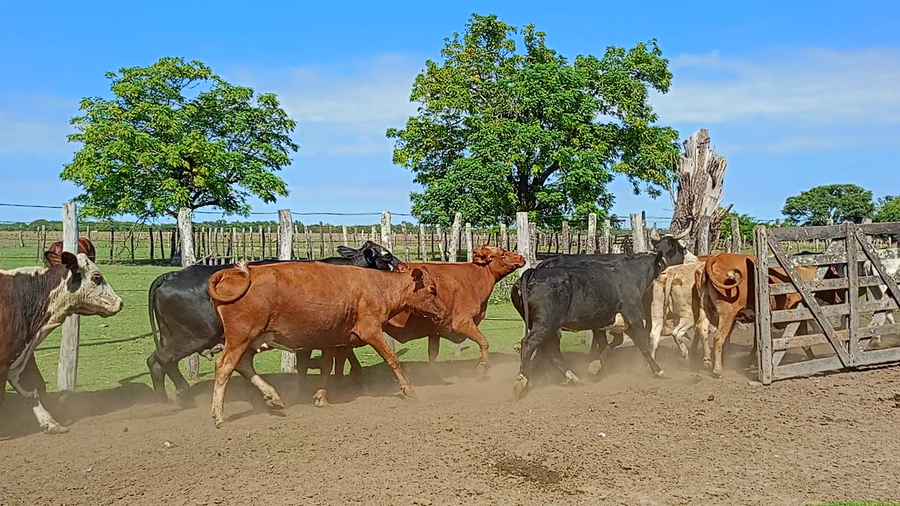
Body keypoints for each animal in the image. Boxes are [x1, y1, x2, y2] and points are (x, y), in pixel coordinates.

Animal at [146, 241, 404, 402]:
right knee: (161, 361)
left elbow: (327, 359)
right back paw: (174, 396)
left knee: (158, 361)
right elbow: (332, 358)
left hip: (172, 336)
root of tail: (171, 275)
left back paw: (171, 395)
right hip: (191, 337)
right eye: (386, 256)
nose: (404, 267)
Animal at [206, 261, 448, 428]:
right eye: (432, 290)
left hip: (250, 341)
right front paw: (408, 389)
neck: (379, 287)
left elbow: (326, 367)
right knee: (225, 367)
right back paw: (218, 414)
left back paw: (272, 396)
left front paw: (321, 396)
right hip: (240, 338)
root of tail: (234, 273)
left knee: (243, 365)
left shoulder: (333, 338)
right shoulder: (370, 330)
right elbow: (392, 358)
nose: (444, 312)